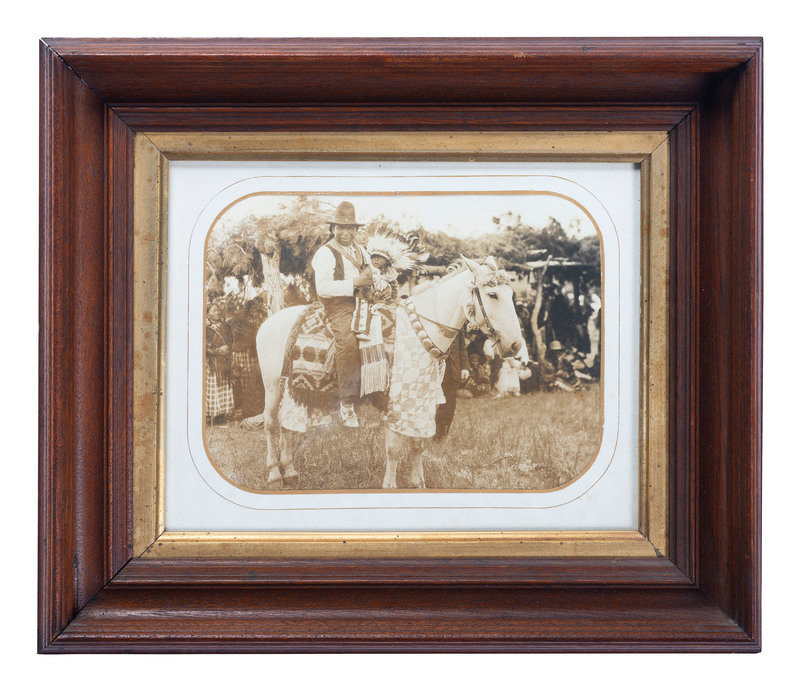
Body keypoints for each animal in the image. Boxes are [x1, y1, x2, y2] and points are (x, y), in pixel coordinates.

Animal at [254, 256, 525, 490]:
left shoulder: (423, 399)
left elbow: (418, 443)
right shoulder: (394, 400)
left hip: (292, 387)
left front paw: (417, 483)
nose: (515, 344)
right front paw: (390, 486)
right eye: (492, 294)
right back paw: (274, 474)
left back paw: (290, 471)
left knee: (287, 424)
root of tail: (269, 322)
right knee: (271, 424)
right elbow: (394, 447)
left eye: (511, 294)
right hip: (272, 386)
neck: (418, 330)